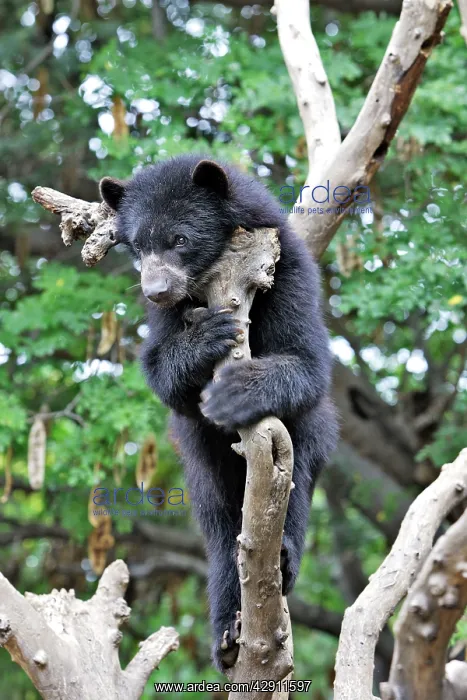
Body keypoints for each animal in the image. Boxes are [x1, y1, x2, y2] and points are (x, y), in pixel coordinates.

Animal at [100, 154, 338, 671]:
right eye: (139, 246)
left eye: (180, 239)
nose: (156, 289)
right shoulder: (167, 318)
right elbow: (160, 371)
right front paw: (207, 335)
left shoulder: (288, 274)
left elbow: (305, 359)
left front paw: (234, 393)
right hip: (201, 462)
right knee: (222, 527)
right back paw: (229, 634)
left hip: (306, 441)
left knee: (296, 482)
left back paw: (283, 556)